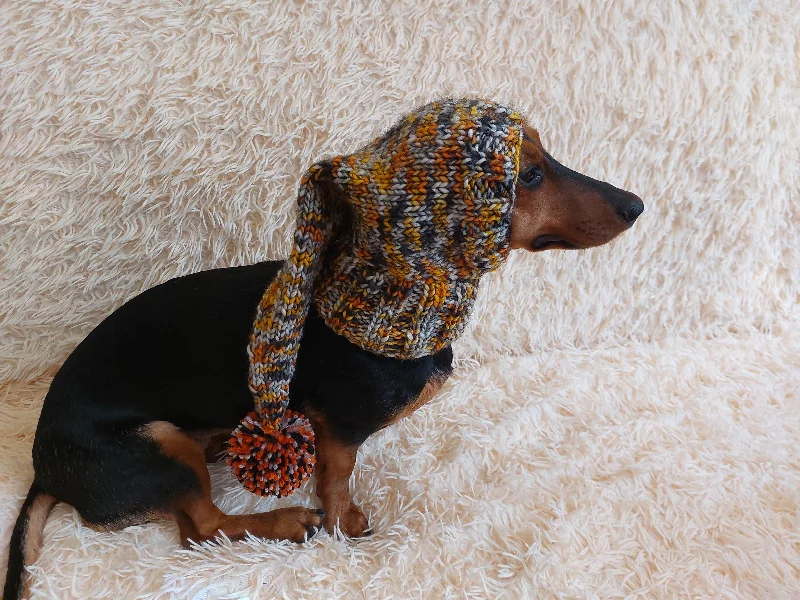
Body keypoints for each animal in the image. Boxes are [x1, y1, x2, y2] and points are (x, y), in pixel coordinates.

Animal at [3, 125, 644, 596]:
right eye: (528, 175)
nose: (636, 204)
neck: (386, 305)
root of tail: (44, 468)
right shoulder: (340, 429)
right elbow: (336, 480)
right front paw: (343, 523)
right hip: (158, 443)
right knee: (204, 530)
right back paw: (285, 521)